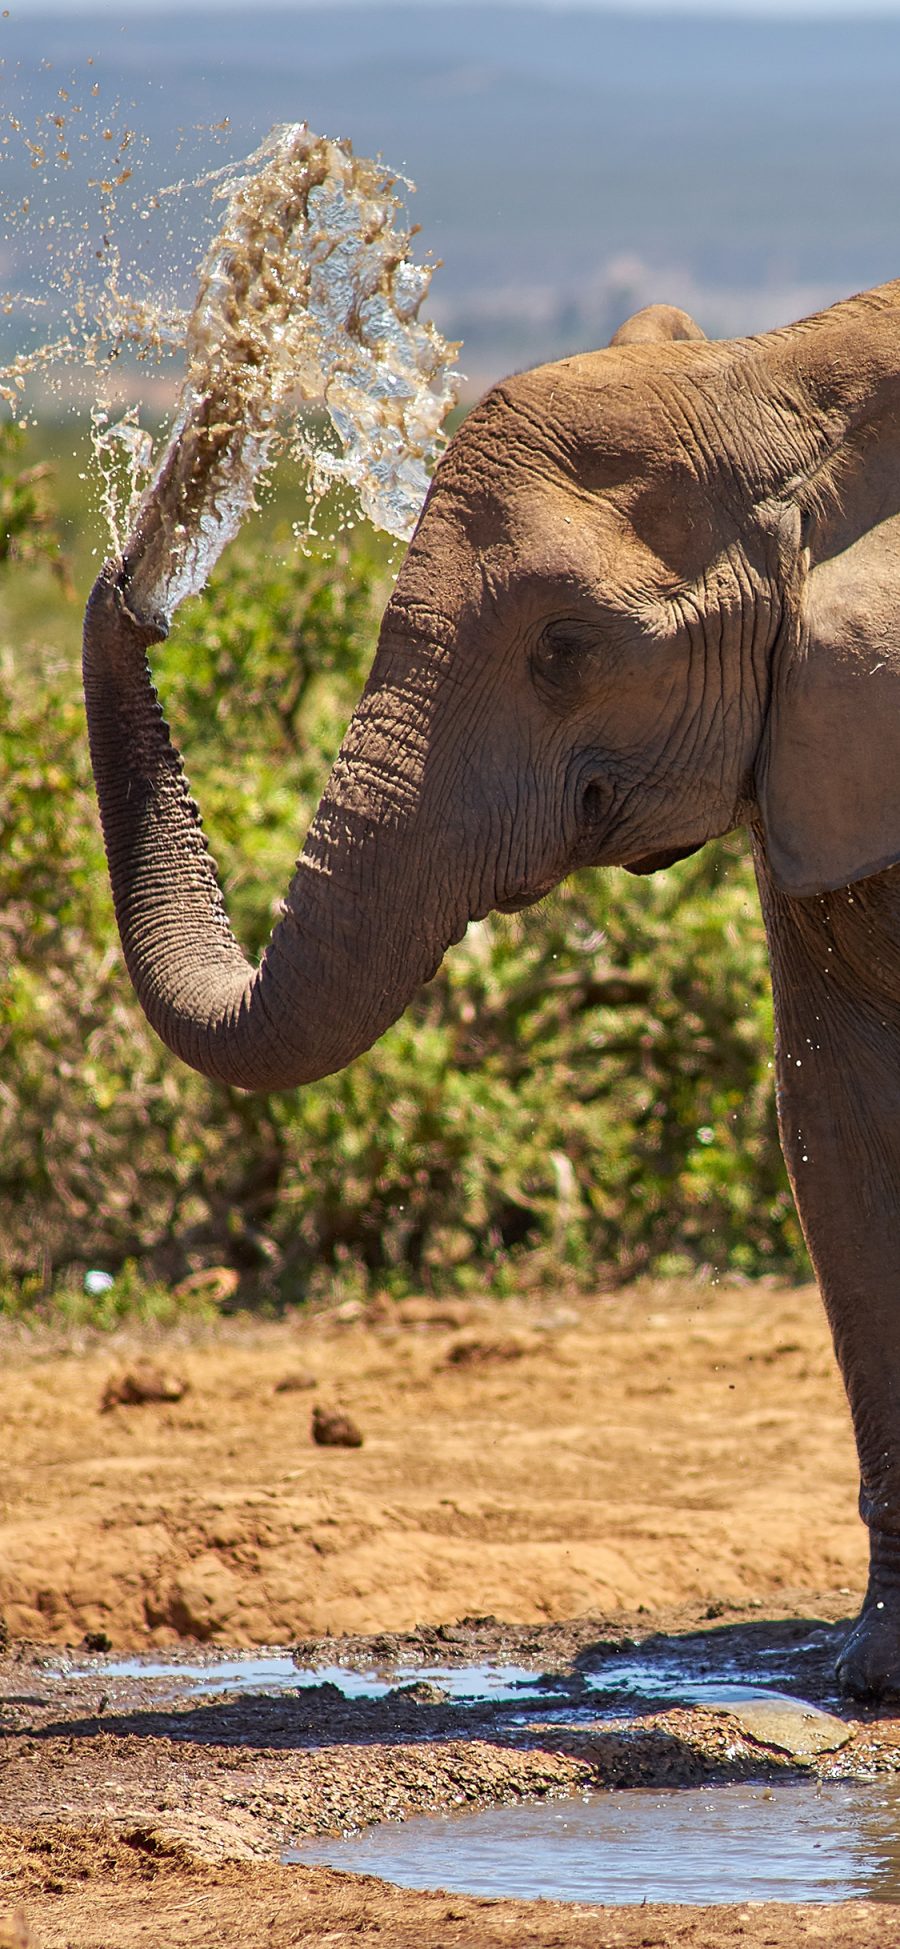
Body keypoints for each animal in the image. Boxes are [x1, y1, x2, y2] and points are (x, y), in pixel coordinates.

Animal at [82, 282, 900, 1699]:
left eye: (566, 649)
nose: (142, 588)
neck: (784, 372)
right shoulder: (813, 747)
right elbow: (840, 1128)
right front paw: (876, 1676)